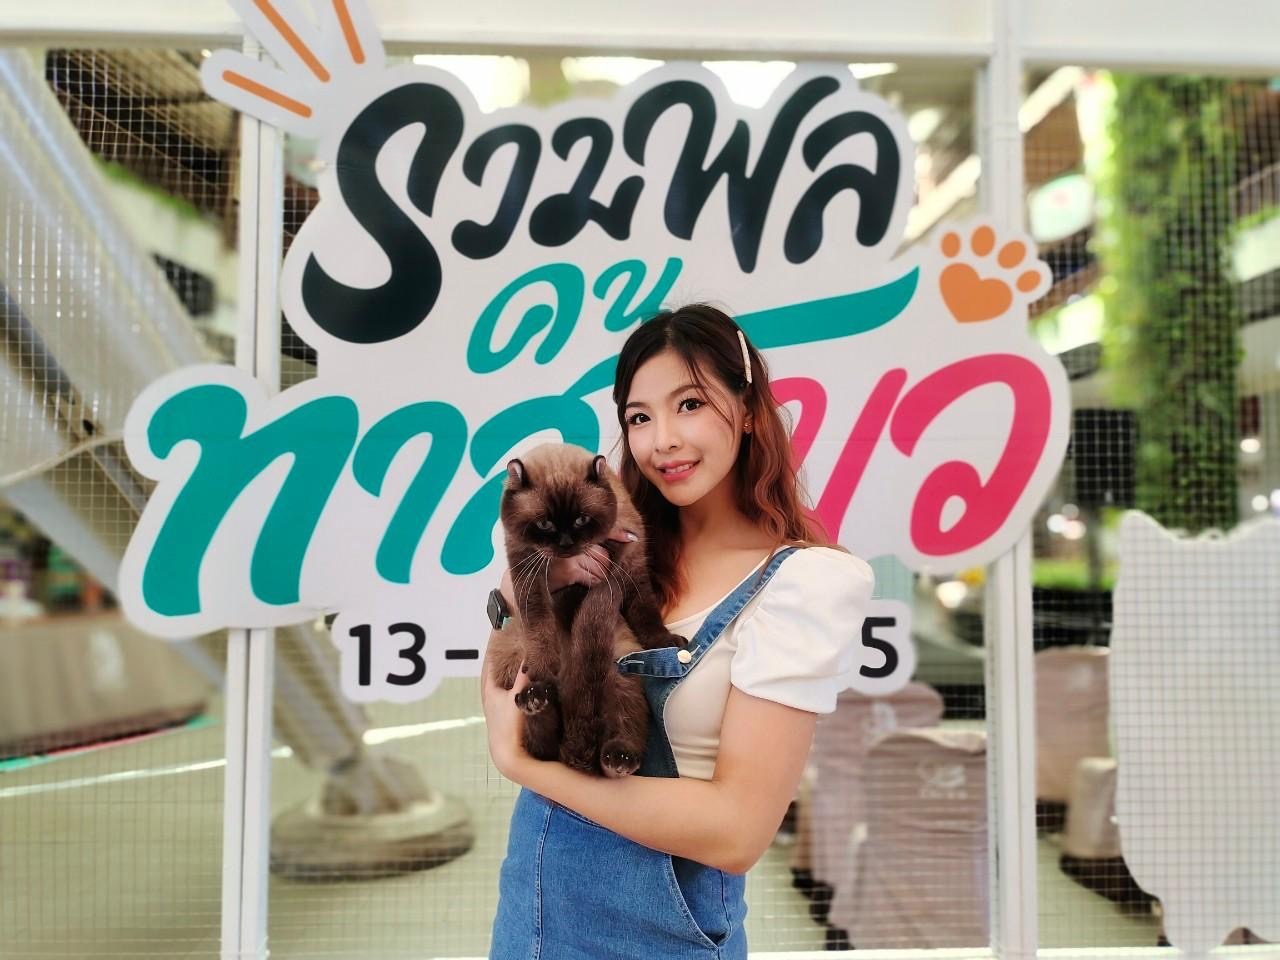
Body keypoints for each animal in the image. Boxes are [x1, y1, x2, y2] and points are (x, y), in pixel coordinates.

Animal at [486, 442, 688, 777]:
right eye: (545, 524)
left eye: (581, 520)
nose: (566, 544)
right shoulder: (529, 573)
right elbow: (539, 626)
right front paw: (543, 670)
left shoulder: (632, 564)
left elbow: (646, 612)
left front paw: (666, 641)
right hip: (516, 653)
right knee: (543, 749)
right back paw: (537, 697)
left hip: (620, 670)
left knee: (620, 732)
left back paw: (617, 758)